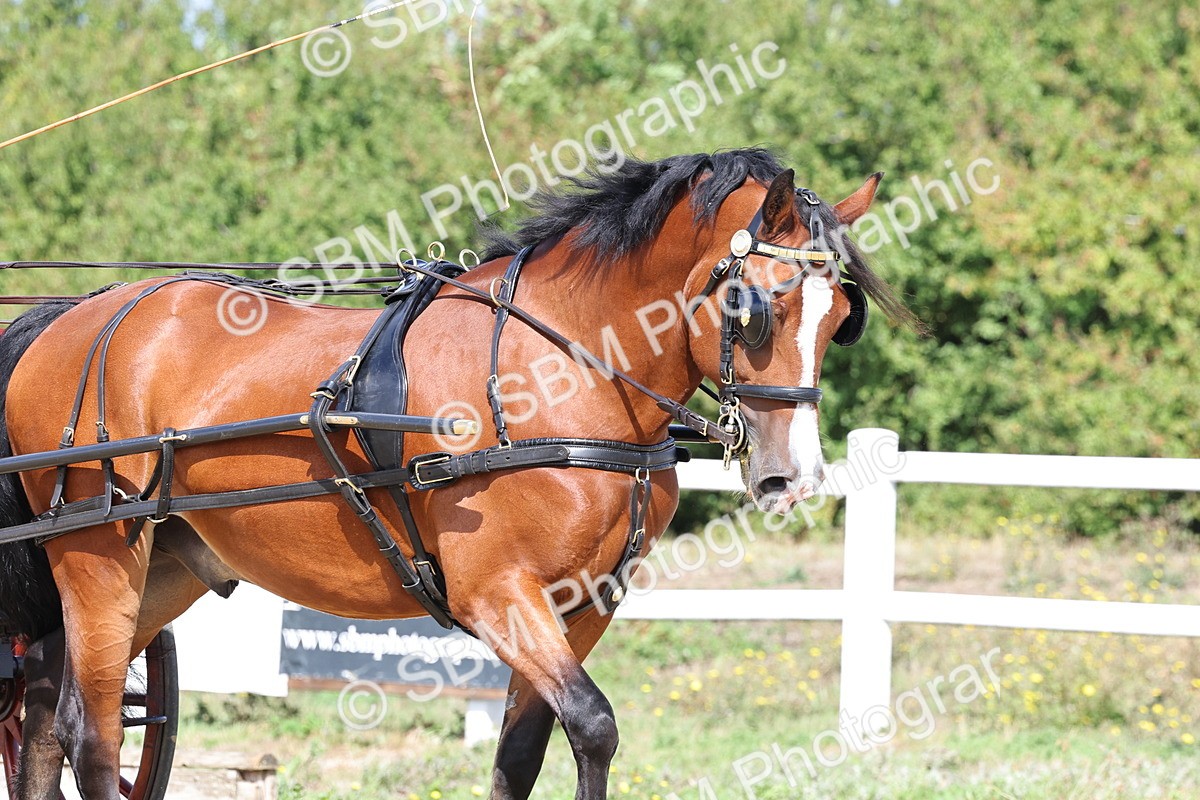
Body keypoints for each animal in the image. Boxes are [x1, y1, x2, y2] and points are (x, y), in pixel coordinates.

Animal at [0, 147, 911, 799]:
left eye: (840, 316)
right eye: (755, 307)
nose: (794, 477)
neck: (559, 374)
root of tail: (75, 316)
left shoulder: (581, 603)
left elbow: (524, 752)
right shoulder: (496, 592)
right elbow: (595, 724)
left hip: (168, 566)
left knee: (43, 705)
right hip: (100, 557)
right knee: (93, 733)